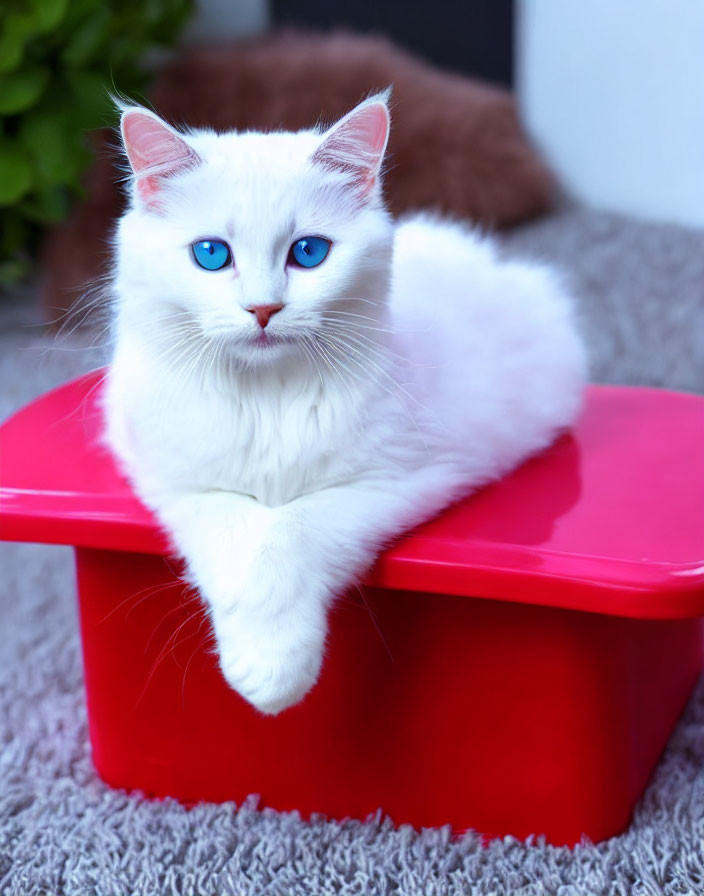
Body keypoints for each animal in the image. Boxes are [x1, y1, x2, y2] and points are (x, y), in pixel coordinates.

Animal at [104, 93, 584, 712]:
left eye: (309, 253)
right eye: (211, 255)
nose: (263, 309)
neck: (268, 396)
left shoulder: (399, 480)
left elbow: (290, 534)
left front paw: (274, 672)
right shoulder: (179, 482)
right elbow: (237, 536)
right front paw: (260, 663)